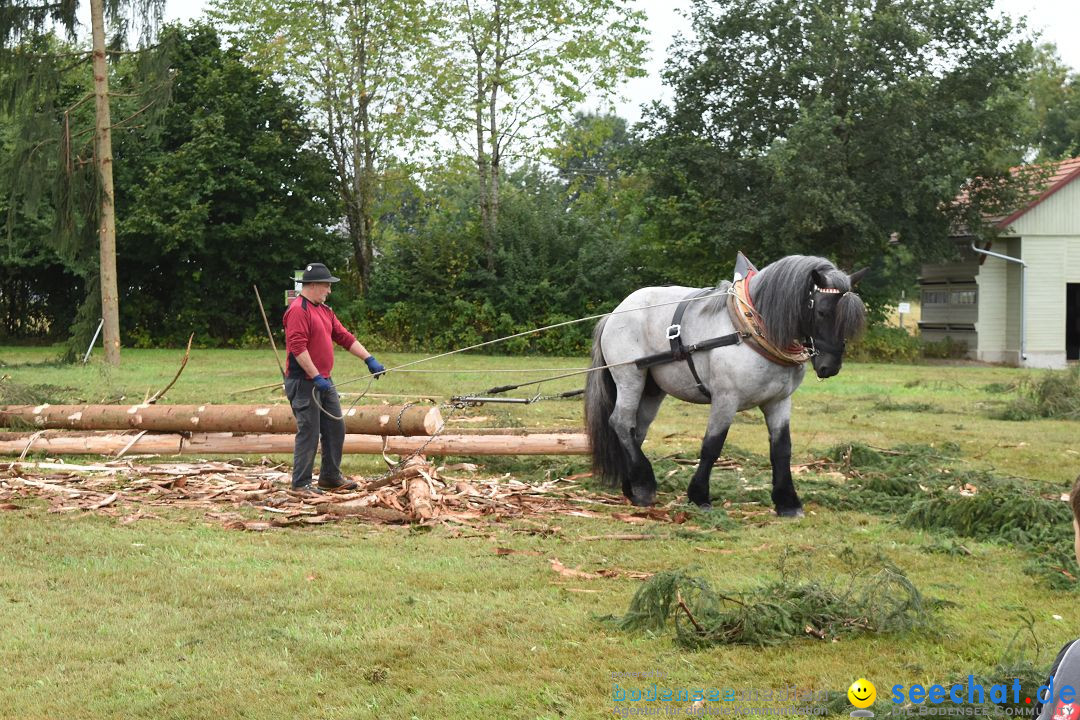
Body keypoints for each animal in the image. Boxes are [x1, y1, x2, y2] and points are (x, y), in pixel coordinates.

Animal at [587, 255, 864, 515]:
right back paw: (644, 485)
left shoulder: (779, 401)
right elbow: (712, 445)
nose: (830, 367)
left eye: (851, 320)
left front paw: (787, 502)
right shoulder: (726, 398)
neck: (752, 331)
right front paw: (699, 496)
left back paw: (632, 486)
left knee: (636, 430)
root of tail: (614, 314)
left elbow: (781, 448)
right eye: (822, 312)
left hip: (652, 389)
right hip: (630, 378)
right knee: (621, 423)